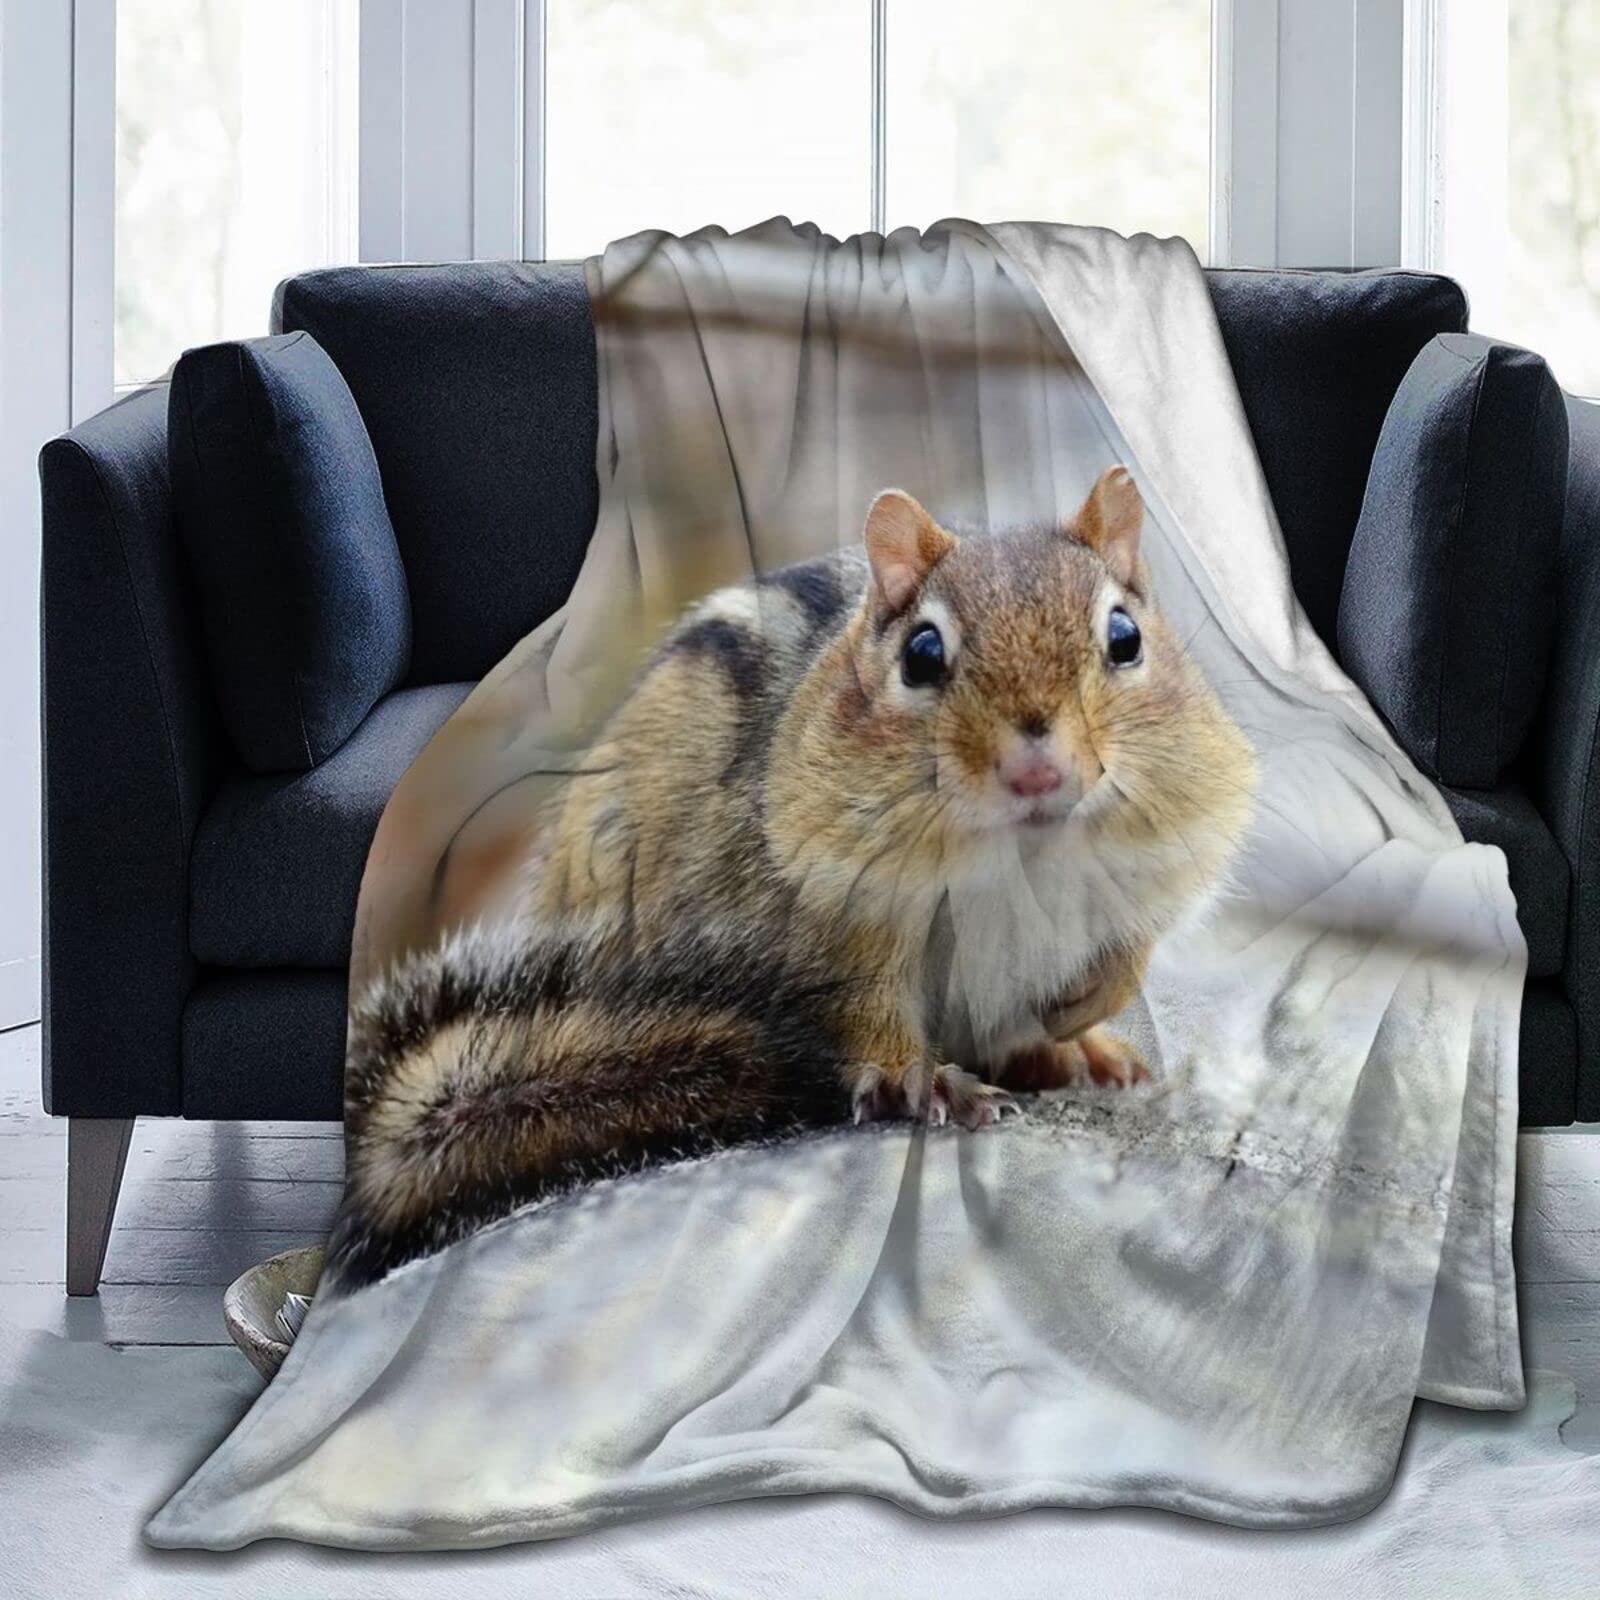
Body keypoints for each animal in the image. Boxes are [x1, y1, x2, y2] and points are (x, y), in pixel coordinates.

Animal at [328, 467, 1258, 1291]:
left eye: (1125, 638)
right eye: (923, 653)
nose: (1037, 770)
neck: (1023, 856)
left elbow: (1130, 955)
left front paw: (1081, 1017)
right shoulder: (840, 921)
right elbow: (872, 1010)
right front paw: (923, 1081)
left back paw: (1065, 1054)